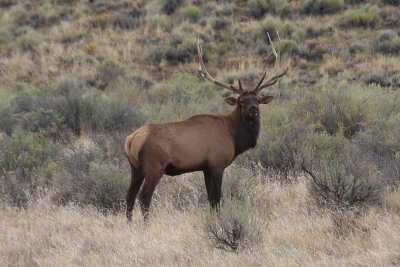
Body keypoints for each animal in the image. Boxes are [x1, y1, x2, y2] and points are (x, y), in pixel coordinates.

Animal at [125, 34, 288, 222]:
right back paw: (145, 224)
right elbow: (217, 198)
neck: (234, 137)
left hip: (135, 168)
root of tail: (131, 140)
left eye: (258, 99)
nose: (253, 109)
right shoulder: (217, 164)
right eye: (241, 101)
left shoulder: (205, 168)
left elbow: (210, 199)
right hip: (154, 167)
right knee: (144, 197)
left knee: (129, 196)